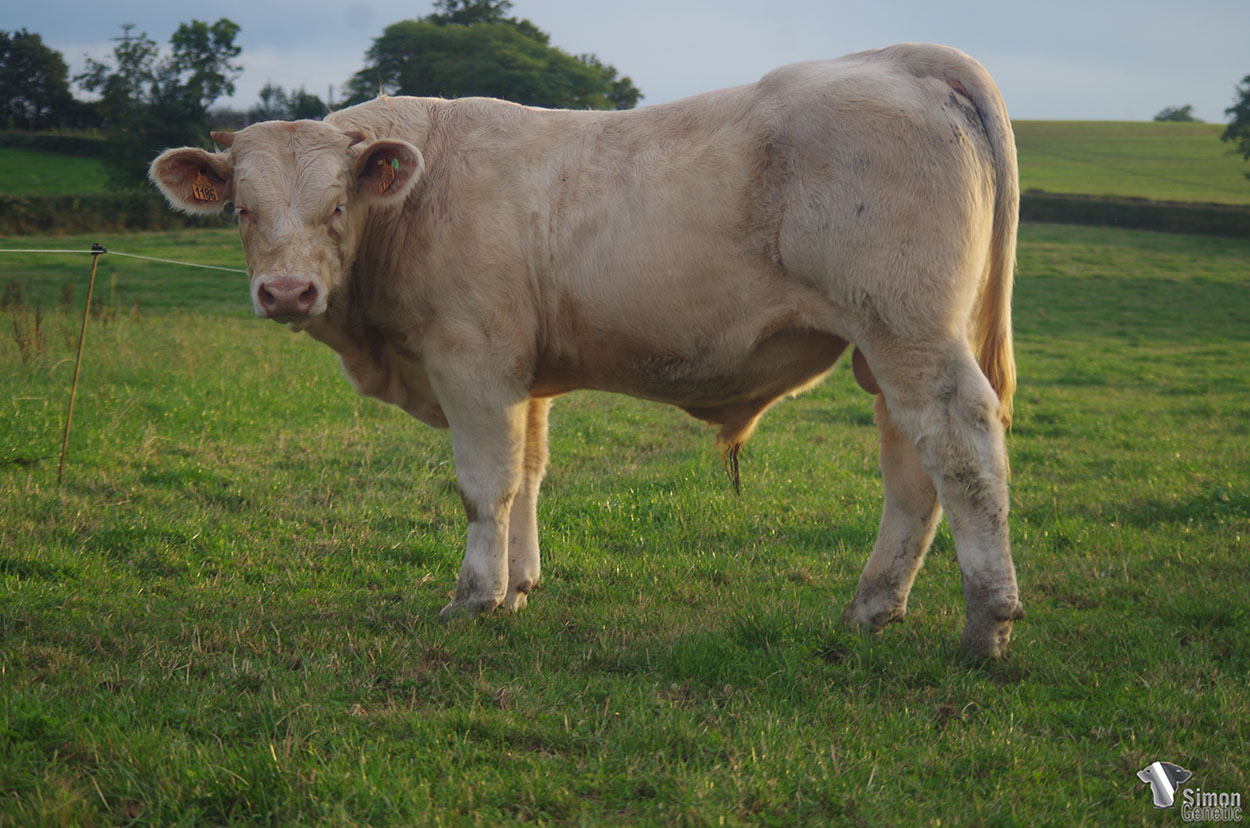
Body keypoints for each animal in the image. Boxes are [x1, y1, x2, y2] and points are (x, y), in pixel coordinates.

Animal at [150, 43, 1024, 657]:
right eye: (240, 209)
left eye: (336, 205)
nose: (287, 293)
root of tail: (904, 58)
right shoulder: (524, 374)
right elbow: (530, 474)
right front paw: (520, 586)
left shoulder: (472, 360)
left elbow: (486, 487)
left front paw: (474, 597)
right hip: (888, 348)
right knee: (911, 468)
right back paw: (871, 608)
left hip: (909, 331)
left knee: (961, 450)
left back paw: (985, 625)